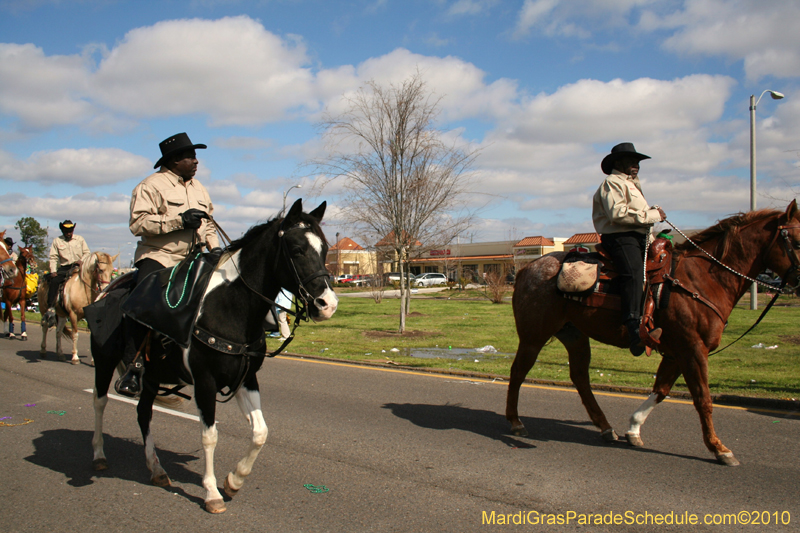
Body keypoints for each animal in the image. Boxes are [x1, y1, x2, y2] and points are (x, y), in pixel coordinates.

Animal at [92, 198, 340, 512]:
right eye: (297, 250)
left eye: (325, 249)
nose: (327, 305)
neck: (229, 306)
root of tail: (106, 289)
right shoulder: (205, 382)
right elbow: (209, 436)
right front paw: (212, 492)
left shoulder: (245, 379)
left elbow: (260, 432)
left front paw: (234, 480)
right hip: (104, 362)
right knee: (100, 403)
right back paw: (99, 455)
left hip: (151, 376)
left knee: (144, 412)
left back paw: (157, 469)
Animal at [506, 200, 800, 466]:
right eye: (796, 241)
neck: (703, 280)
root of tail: (526, 269)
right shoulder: (693, 349)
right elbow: (703, 398)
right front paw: (719, 448)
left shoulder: (677, 351)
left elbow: (662, 389)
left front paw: (634, 428)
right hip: (534, 336)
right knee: (518, 371)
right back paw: (515, 421)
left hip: (575, 335)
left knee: (580, 378)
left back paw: (605, 427)